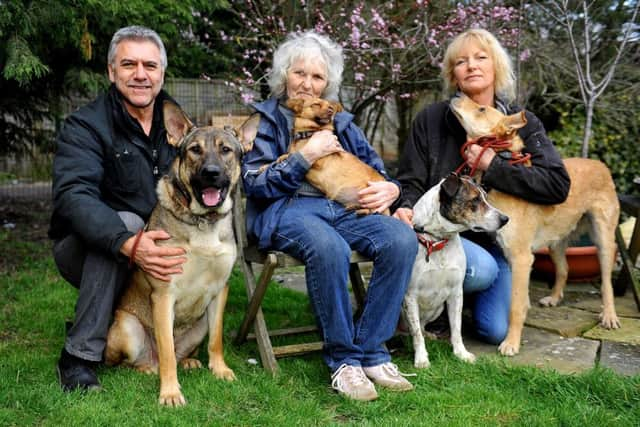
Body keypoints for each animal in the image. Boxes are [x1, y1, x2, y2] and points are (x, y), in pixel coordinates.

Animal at [107, 102, 260, 406]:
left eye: (226, 150)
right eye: (195, 150)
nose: (211, 173)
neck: (203, 221)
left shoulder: (220, 290)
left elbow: (216, 340)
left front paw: (220, 369)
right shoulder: (164, 295)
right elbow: (166, 351)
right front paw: (170, 392)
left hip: (199, 325)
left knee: (181, 353)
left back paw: (188, 361)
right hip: (128, 328)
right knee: (140, 361)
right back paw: (146, 368)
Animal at [402, 173, 508, 368]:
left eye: (485, 198)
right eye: (475, 200)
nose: (505, 219)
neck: (438, 241)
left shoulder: (456, 292)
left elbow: (456, 328)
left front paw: (461, 354)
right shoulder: (410, 295)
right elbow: (416, 334)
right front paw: (421, 359)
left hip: (437, 309)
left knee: (422, 326)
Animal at [450, 94, 620, 358]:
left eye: (482, 108)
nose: (457, 94)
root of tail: (600, 164)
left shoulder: (521, 258)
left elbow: (516, 306)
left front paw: (511, 343)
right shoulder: (515, 257)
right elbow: (520, 300)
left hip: (603, 242)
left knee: (606, 283)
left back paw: (609, 315)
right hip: (556, 243)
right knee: (564, 269)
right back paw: (554, 298)